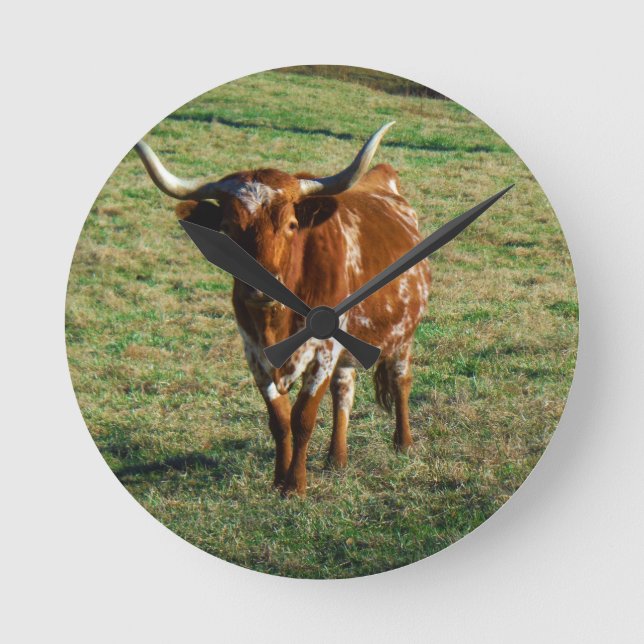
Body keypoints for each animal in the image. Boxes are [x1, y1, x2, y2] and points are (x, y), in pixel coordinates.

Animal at [134, 123, 431, 497]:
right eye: (226, 229)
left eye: (291, 224)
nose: (260, 288)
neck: (277, 319)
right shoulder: (255, 354)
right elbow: (279, 421)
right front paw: (278, 480)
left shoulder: (324, 351)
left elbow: (302, 418)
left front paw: (295, 486)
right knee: (344, 390)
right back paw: (336, 458)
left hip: (404, 334)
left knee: (400, 379)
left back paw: (403, 443)